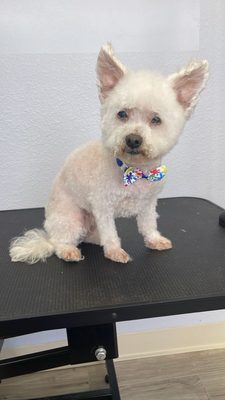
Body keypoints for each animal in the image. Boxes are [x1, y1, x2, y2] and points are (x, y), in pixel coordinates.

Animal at [9, 43, 209, 264]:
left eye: (156, 119)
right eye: (122, 114)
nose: (133, 139)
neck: (134, 170)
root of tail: (49, 234)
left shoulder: (148, 203)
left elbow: (148, 224)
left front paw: (154, 240)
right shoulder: (102, 205)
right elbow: (111, 233)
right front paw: (115, 251)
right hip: (71, 218)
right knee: (60, 242)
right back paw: (68, 250)